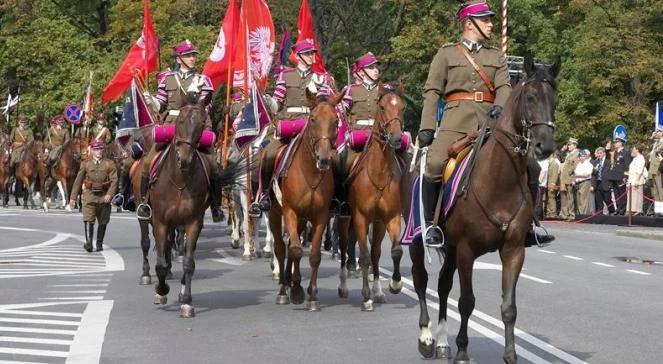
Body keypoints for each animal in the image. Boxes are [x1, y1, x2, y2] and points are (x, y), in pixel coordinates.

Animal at [268, 91, 342, 310]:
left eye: (335, 121)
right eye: (313, 119)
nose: (324, 159)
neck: (310, 173)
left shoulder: (321, 216)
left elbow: (314, 255)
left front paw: (312, 295)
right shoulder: (290, 212)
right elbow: (295, 250)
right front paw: (295, 289)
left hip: (302, 219)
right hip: (275, 214)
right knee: (281, 248)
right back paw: (284, 289)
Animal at [338, 84, 410, 312]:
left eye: (402, 107)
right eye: (383, 106)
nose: (396, 138)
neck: (379, 173)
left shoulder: (391, 218)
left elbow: (394, 251)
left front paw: (394, 284)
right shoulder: (361, 218)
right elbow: (364, 257)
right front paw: (366, 297)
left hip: (377, 224)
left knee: (376, 252)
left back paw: (378, 291)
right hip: (345, 219)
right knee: (344, 246)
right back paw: (344, 286)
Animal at [410, 58, 560, 362]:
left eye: (555, 99)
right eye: (530, 97)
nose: (545, 146)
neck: (498, 179)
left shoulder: (513, 250)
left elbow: (509, 307)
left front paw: (510, 355)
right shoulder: (467, 250)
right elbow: (467, 302)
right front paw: (463, 351)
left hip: (451, 247)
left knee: (442, 285)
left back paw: (442, 342)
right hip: (417, 239)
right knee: (421, 280)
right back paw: (427, 337)